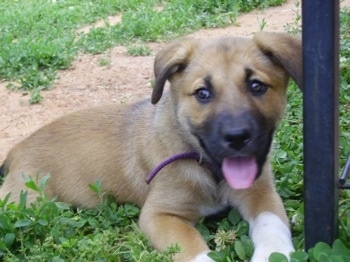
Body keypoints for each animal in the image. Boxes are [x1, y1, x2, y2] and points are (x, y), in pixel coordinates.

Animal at [0, 33, 300, 262]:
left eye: (257, 86)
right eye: (202, 93)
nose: (237, 137)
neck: (209, 170)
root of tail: (17, 148)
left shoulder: (261, 192)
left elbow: (272, 223)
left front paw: (273, 253)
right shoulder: (159, 215)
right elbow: (193, 248)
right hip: (27, 201)